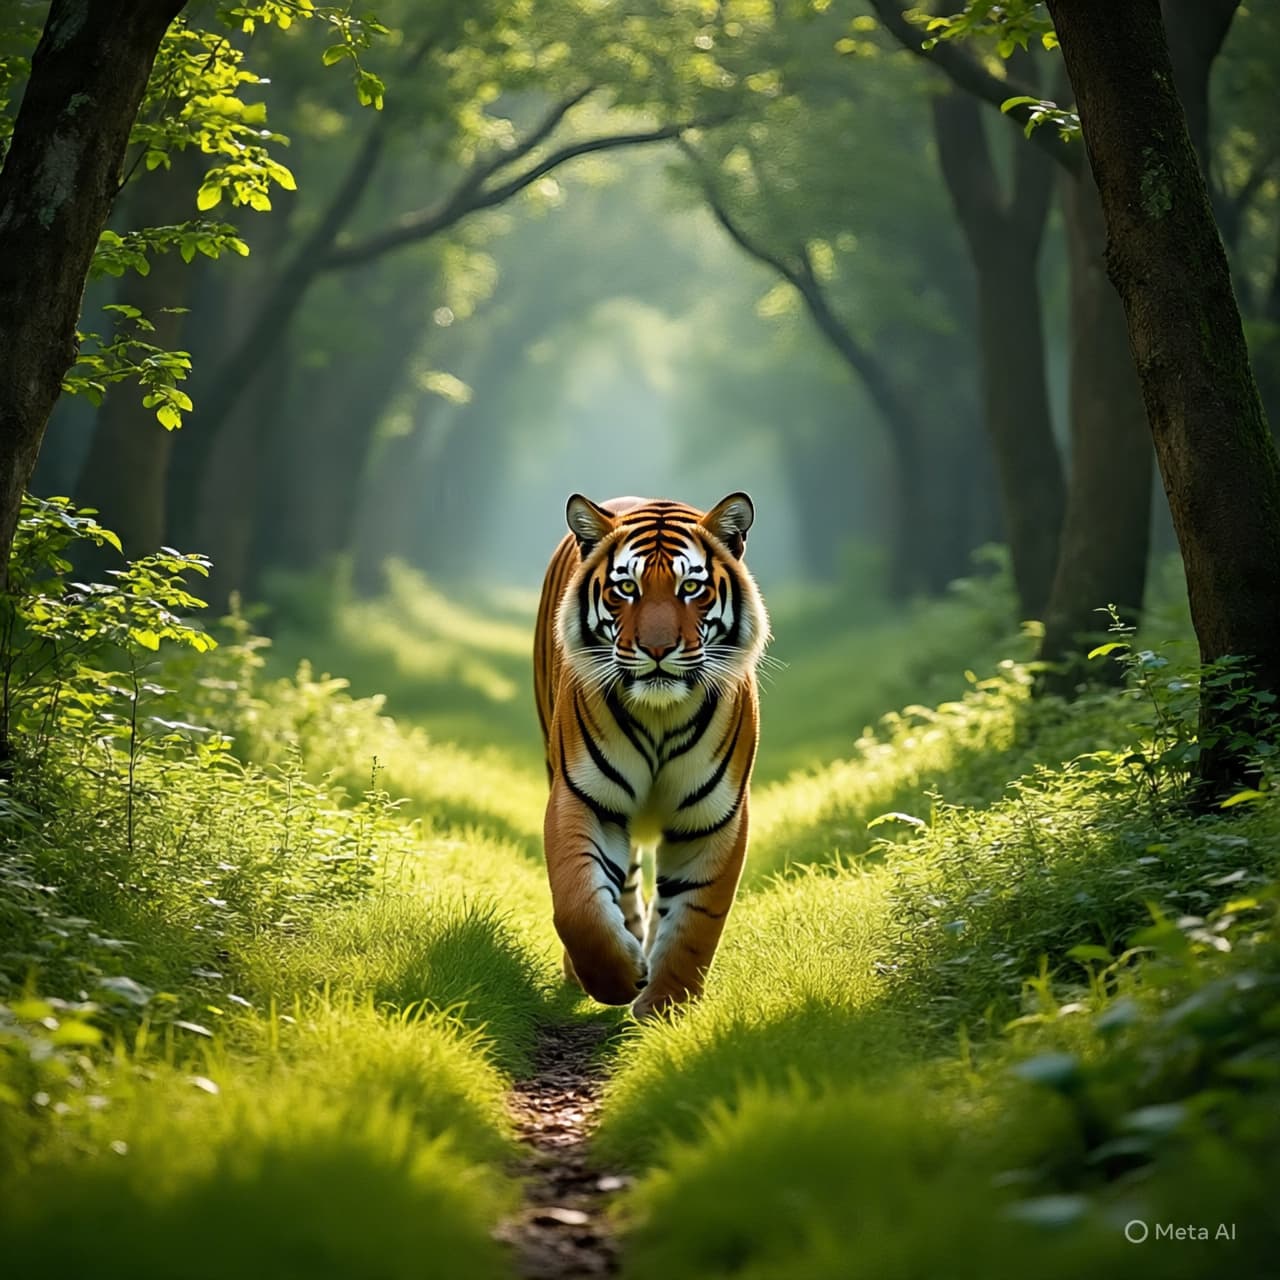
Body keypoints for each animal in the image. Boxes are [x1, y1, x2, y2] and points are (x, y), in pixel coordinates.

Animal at [533, 492, 769, 1019]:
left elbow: (695, 920)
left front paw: (666, 1008)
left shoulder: (713, 818)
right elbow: (579, 905)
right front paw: (617, 979)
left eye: (690, 588)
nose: (657, 649)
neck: (660, 716)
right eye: (626, 587)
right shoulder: (584, 798)